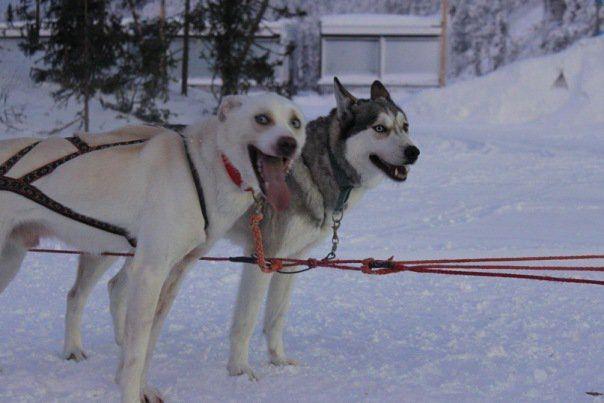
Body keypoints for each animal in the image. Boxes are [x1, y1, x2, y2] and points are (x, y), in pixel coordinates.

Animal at [0, 93, 306, 402]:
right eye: (262, 118)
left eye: (295, 123)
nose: (288, 143)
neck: (203, 168)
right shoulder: (150, 272)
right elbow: (136, 353)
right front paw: (130, 392)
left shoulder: (173, 274)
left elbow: (149, 344)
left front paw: (143, 388)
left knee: (77, 295)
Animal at [226, 79, 420, 378]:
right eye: (380, 128)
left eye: (405, 126)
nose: (414, 152)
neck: (312, 167)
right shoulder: (262, 257)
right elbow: (245, 321)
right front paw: (240, 371)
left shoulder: (289, 261)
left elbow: (276, 318)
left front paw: (278, 360)